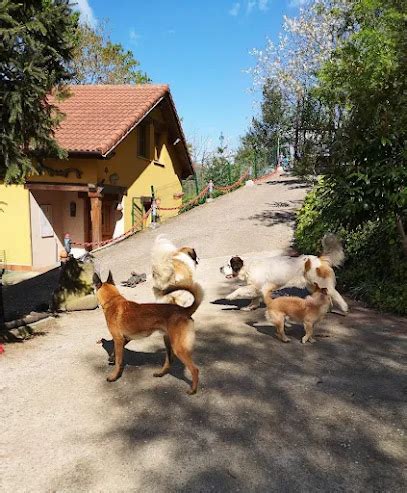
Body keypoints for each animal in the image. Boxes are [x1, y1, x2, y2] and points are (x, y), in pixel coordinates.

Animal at [222, 234, 350, 312]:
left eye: (229, 265)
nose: (220, 268)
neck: (248, 266)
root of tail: (319, 259)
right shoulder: (257, 288)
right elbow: (254, 299)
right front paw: (249, 307)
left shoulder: (255, 286)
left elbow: (240, 289)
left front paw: (229, 296)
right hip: (313, 286)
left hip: (322, 283)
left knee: (335, 294)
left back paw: (344, 308)